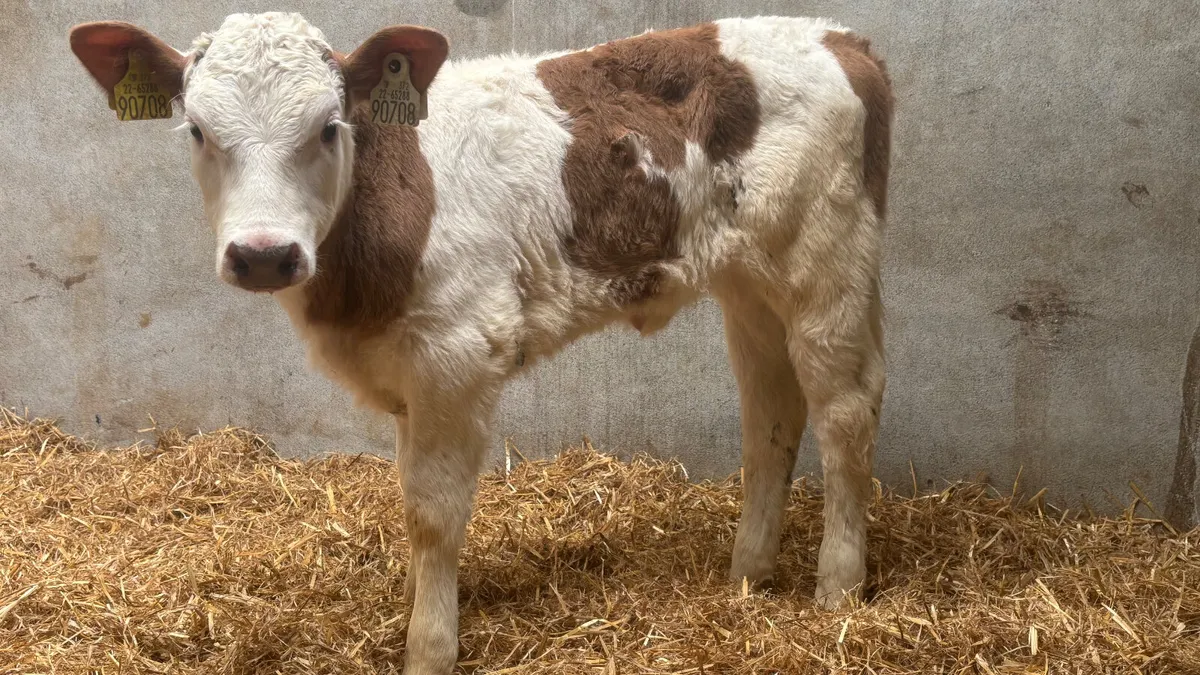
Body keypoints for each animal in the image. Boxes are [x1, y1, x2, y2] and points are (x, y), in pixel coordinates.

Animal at [69, 12, 893, 673]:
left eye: (329, 128)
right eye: (198, 132)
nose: (264, 254)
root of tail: (841, 37)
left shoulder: (456, 356)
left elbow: (433, 512)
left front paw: (429, 646)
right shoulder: (406, 376)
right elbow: (408, 496)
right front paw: (414, 603)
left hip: (830, 263)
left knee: (845, 410)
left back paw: (837, 588)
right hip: (749, 283)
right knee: (773, 412)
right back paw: (748, 575)